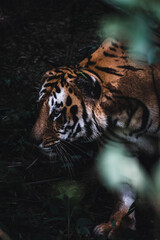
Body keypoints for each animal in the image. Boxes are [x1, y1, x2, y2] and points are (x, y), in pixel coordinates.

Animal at [31, 38, 160, 237]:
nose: (34, 140)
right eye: (39, 106)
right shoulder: (117, 145)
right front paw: (118, 224)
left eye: (57, 113)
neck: (123, 117)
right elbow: (124, 187)